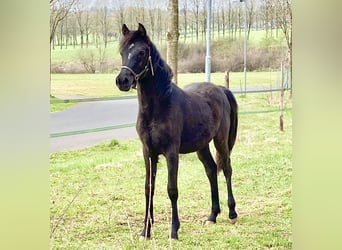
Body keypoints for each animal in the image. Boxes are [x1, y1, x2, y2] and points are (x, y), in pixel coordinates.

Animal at [115, 23, 238, 240]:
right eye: (122, 51)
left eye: (141, 52)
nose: (123, 80)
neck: (159, 106)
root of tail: (220, 89)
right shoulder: (148, 152)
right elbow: (149, 188)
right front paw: (145, 231)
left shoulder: (171, 152)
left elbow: (172, 189)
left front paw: (174, 231)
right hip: (202, 146)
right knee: (211, 170)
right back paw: (212, 216)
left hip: (220, 140)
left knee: (227, 168)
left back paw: (232, 213)